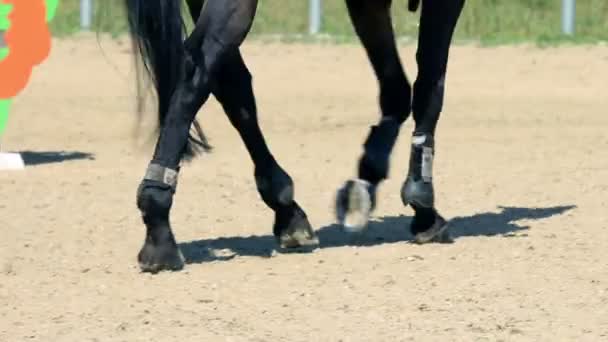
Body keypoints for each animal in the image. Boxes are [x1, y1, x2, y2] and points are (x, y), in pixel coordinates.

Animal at [126, 0, 464, 272]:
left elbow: (397, 91)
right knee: (197, 72)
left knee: (231, 86)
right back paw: (160, 230)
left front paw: (366, 181)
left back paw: (287, 211)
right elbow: (429, 87)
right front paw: (422, 201)